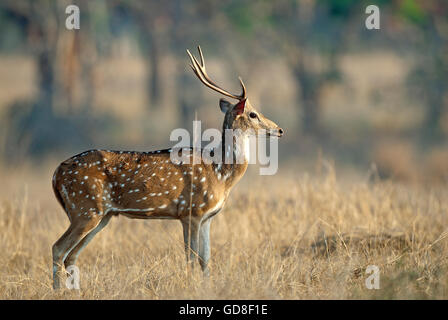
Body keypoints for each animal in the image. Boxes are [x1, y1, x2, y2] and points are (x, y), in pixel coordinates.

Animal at [52, 46, 284, 288]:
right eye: (253, 114)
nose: (279, 130)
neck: (220, 174)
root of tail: (56, 173)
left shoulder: (208, 217)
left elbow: (206, 260)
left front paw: (207, 288)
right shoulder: (191, 211)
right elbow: (191, 257)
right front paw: (192, 286)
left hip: (101, 214)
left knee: (71, 255)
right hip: (84, 207)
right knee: (58, 248)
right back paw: (59, 291)